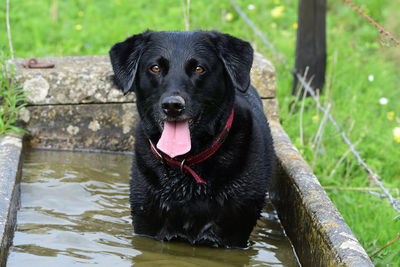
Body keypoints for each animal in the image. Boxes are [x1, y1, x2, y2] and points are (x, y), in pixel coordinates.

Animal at [108, 29, 274, 249]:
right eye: (155, 68)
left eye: (198, 69)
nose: (172, 105)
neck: (185, 165)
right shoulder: (145, 225)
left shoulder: (235, 235)